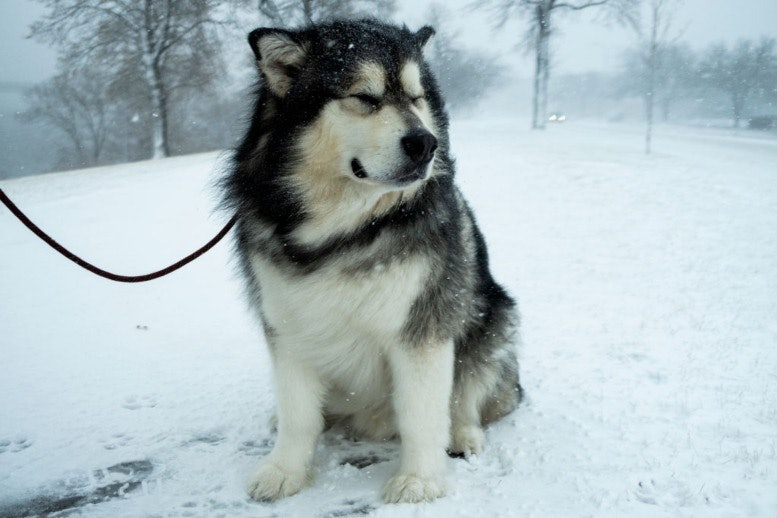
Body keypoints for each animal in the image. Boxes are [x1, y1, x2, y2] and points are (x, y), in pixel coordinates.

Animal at [220, 19, 520, 504]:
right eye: (364, 97)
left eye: (416, 98)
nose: (425, 143)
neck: (343, 231)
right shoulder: (287, 322)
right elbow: (298, 415)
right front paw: (285, 470)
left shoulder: (421, 327)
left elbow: (422, 414)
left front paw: (419, 479)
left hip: (493, 315)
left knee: (468, 392)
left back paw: (463, 433)